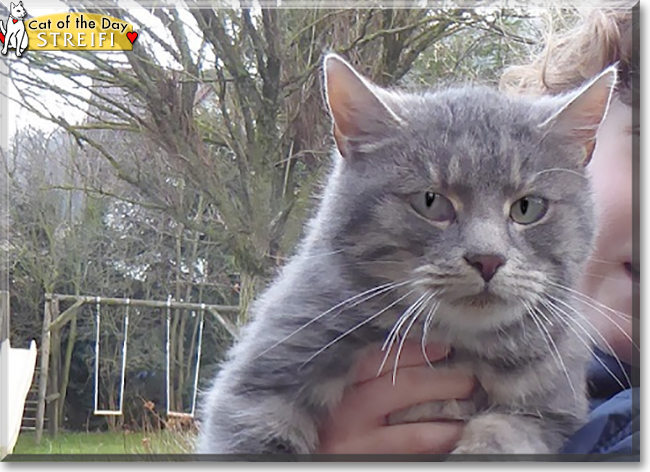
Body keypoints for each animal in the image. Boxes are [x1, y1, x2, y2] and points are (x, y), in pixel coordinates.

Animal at [195, 55, 616, 458]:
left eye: (527, 207)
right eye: (431, 202)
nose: (488, 259)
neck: (453, 344)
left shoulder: (551, 412)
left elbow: (503, 433)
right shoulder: (258, 388)